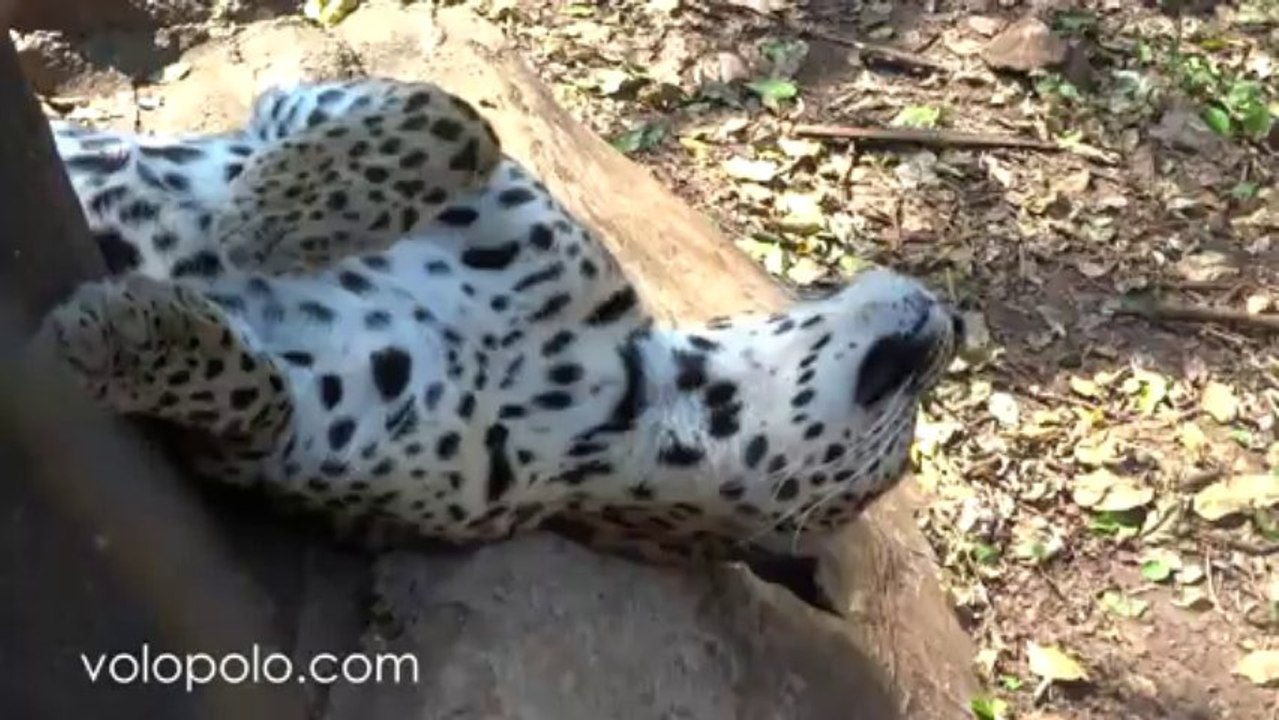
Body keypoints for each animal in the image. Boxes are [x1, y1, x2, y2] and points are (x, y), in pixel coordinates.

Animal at [40, 76, 963, 612]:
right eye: (894, 477)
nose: (955, 329)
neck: (621, 384)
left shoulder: (294, 452)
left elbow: (253, 391)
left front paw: (128, 334)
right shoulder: (312, 102)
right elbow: (456, 120)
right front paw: (279, 211)